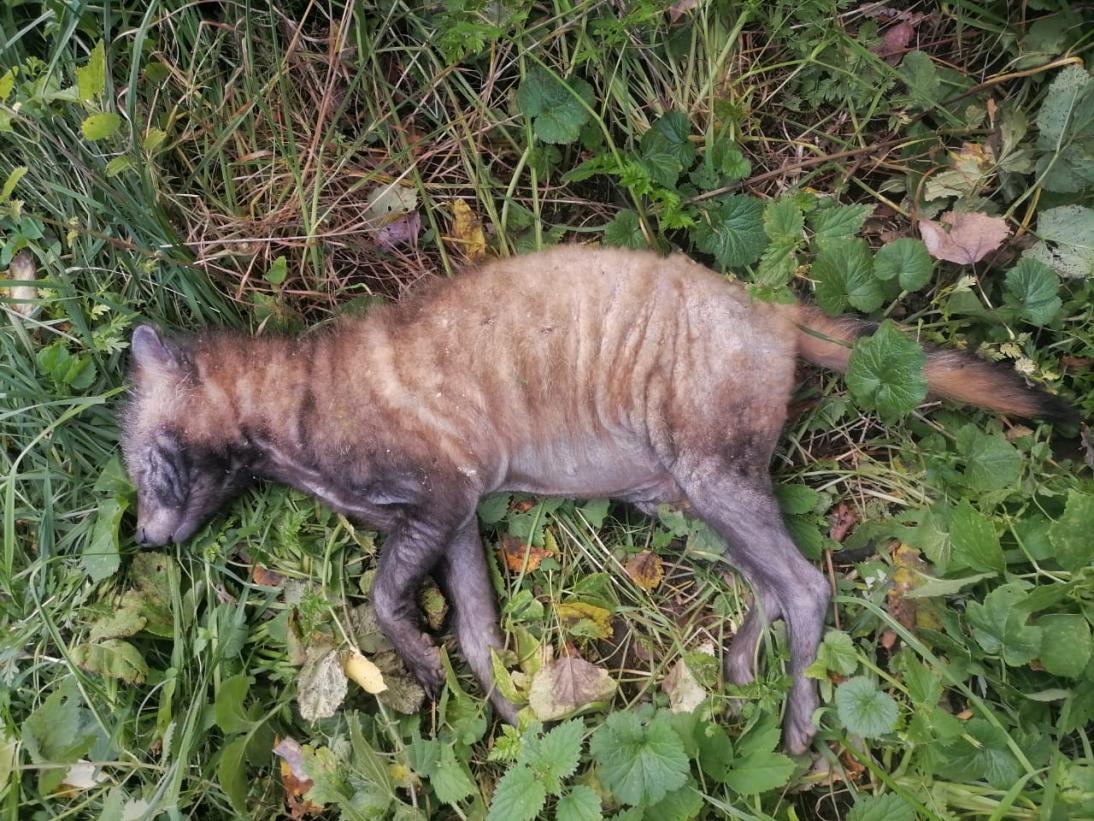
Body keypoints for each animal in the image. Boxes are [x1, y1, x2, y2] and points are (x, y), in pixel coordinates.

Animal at [121, 245, 1077, 754]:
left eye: (144, 464)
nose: (143, 539)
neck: (303, 418)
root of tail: (773, 311)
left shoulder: (441, 490)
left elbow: (387, 595)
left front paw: (419, 663)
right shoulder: (455, 517)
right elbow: (479, 631)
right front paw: (509, 719)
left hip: (708, 471)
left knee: (807, 584)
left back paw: (799, 724)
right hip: (680, 494)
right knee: (769, 581)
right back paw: (741, 669)